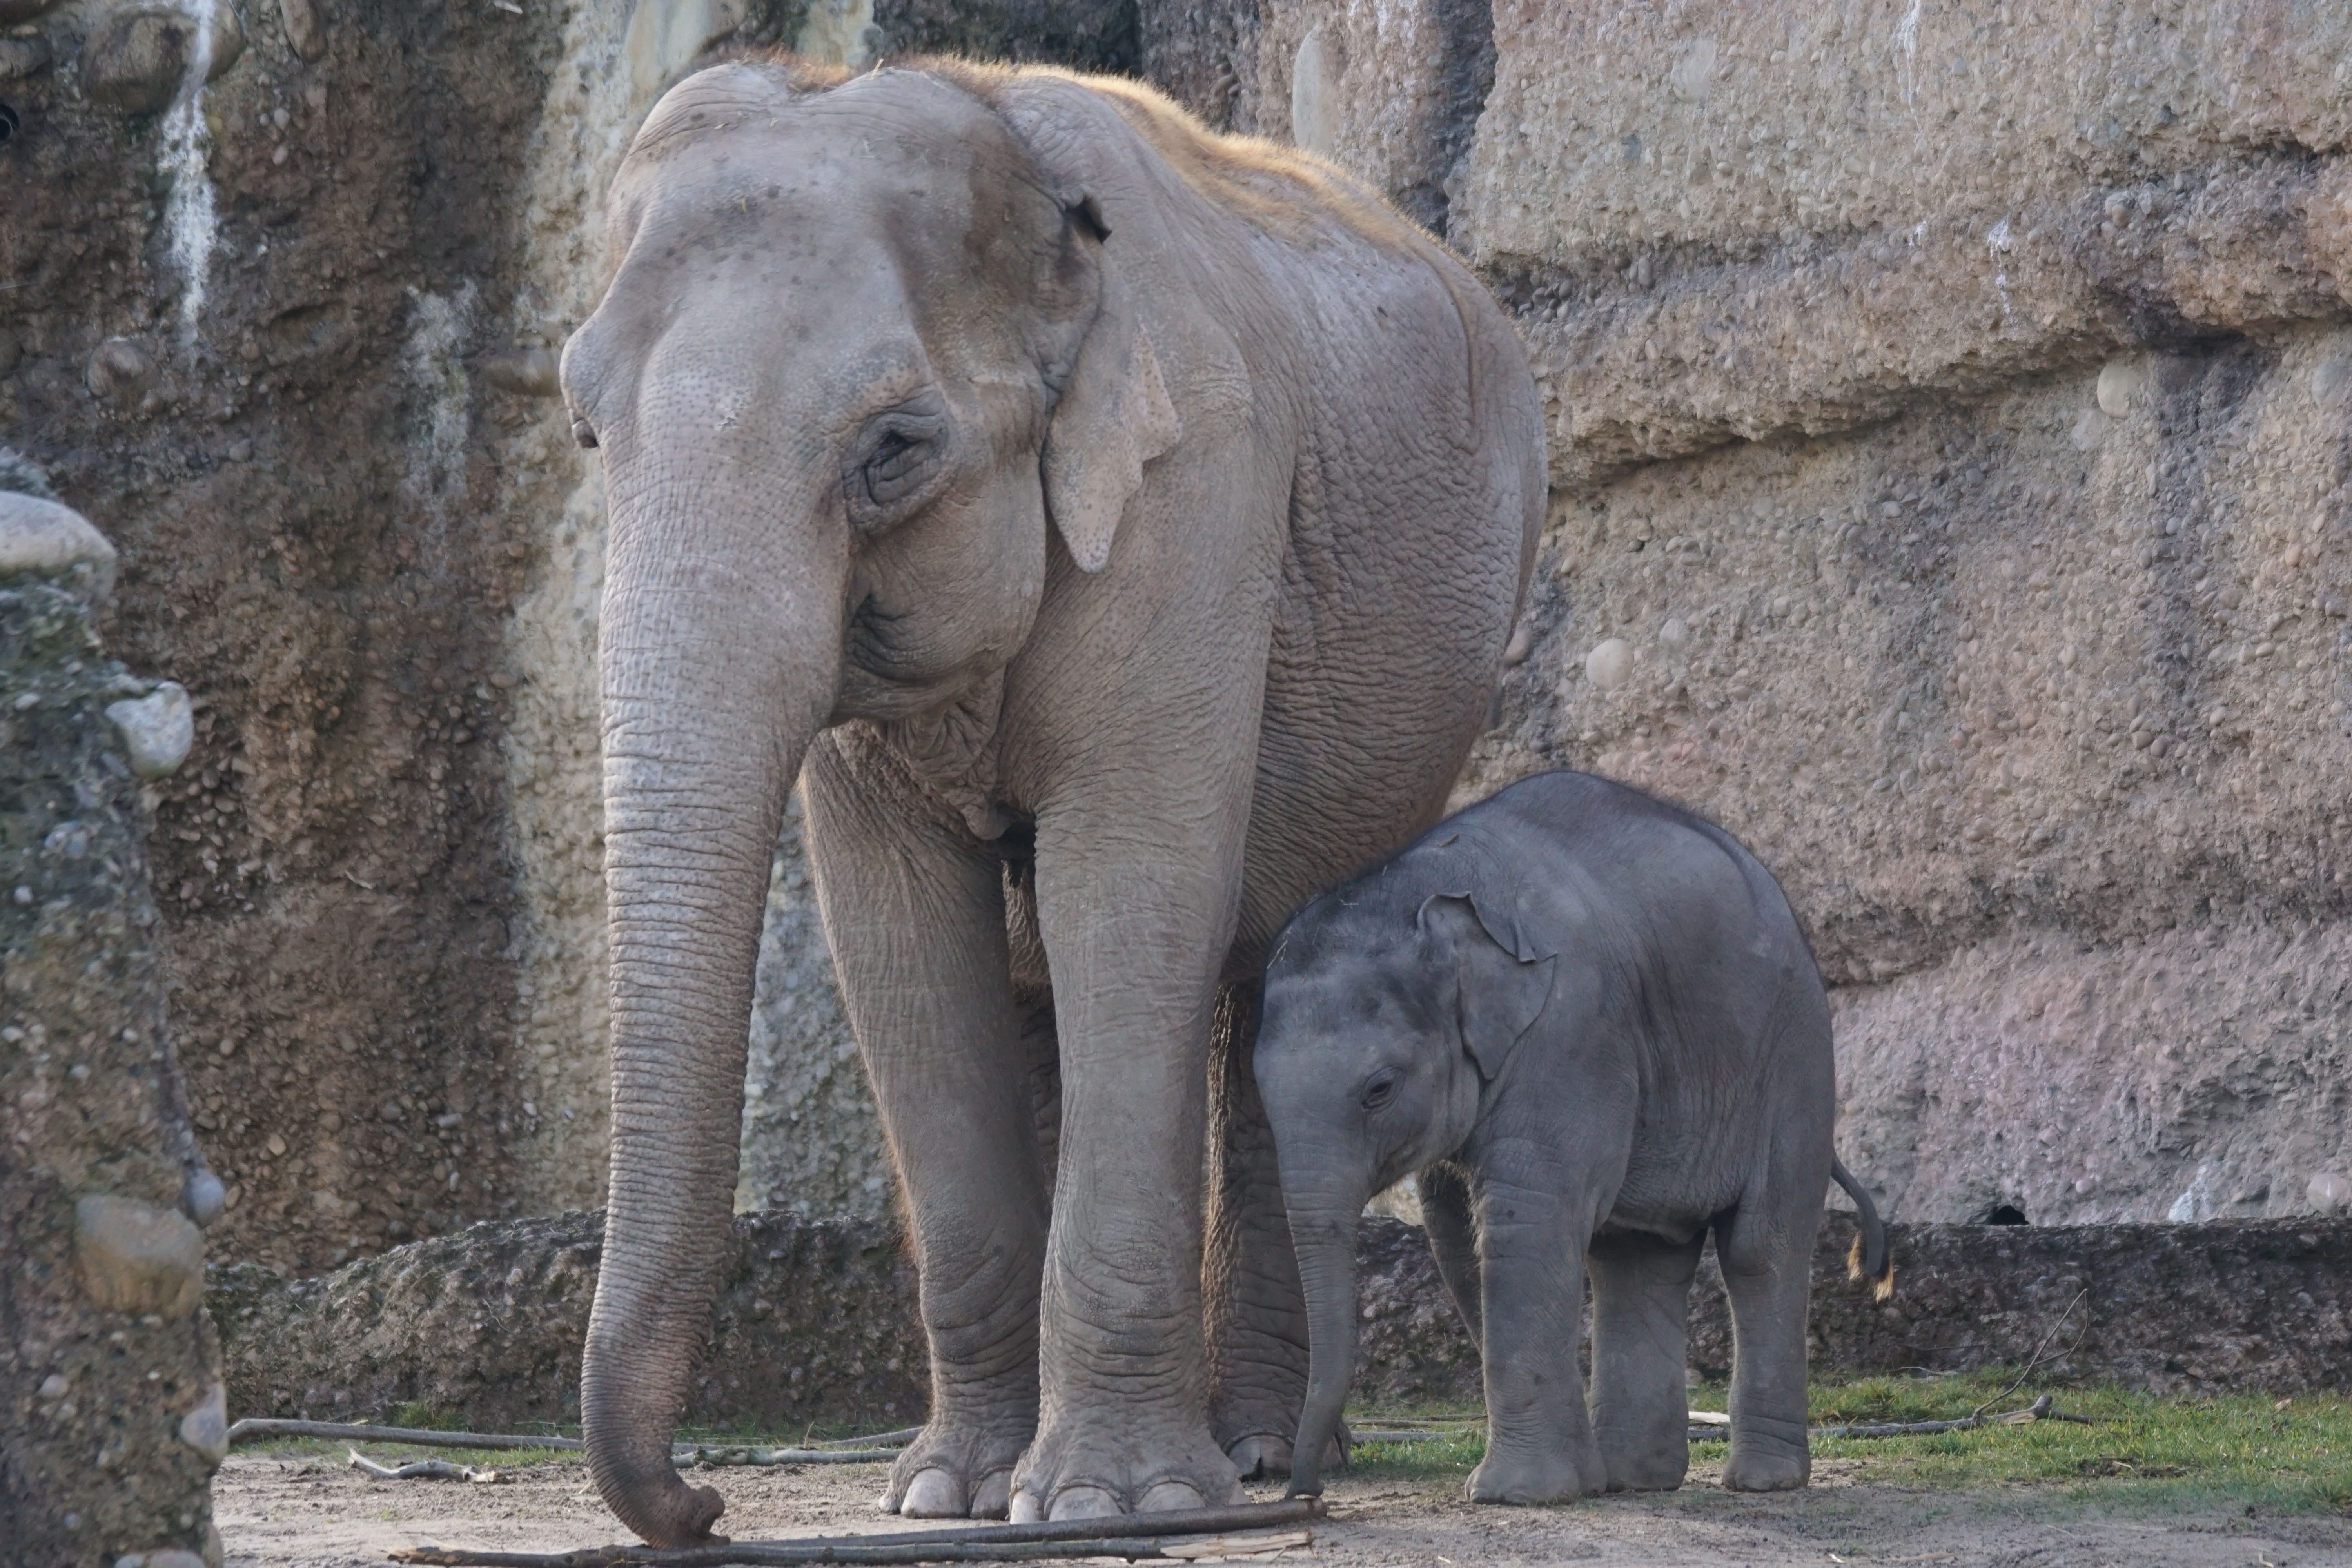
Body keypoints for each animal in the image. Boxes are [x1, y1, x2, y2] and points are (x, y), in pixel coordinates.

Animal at [555, 49, 1543, 1542]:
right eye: (586, 428)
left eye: (893, 449)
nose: (706, 1499)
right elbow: (901, 938)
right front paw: (945, 1496)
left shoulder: (1198, 497)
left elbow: (1126, 892)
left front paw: (1107, 1502)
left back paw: (1254, 1456)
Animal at [1251, 771, 1891, 1504]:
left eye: (1378, 1089)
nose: (1303, 1493)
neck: (1428, 888)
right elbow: (1460, 1238)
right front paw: (1572, 1480)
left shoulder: (1571, 1029)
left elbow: (1524, 1218)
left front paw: (1517, 1494)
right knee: (1636, 1258)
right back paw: (1632, 1479)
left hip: (1795, 1060)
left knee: (1760, 1248)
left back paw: (1762, 1482)